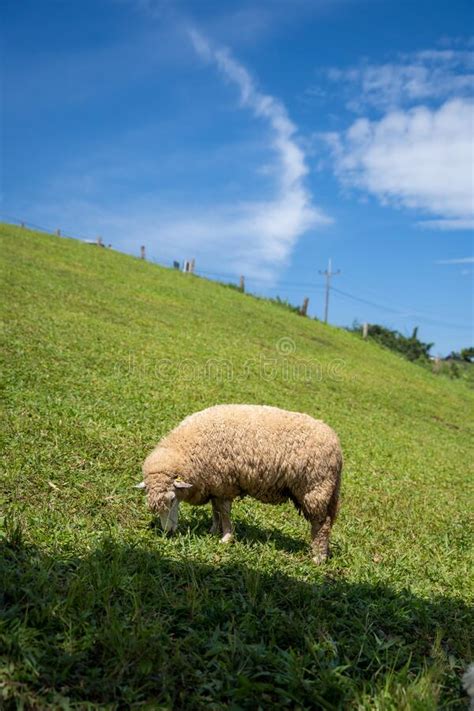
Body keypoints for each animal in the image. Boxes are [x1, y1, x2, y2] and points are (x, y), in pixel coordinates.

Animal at [139, 406, 342, 560]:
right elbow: (215, 510)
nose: (167, 532)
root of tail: (336, 445)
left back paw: (318, 557)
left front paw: (226, 538)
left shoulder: (223, 483)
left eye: (172, 499)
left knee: (322, 524)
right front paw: (214, 530)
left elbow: (224, 512)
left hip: (314, 489)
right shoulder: (215, 484)